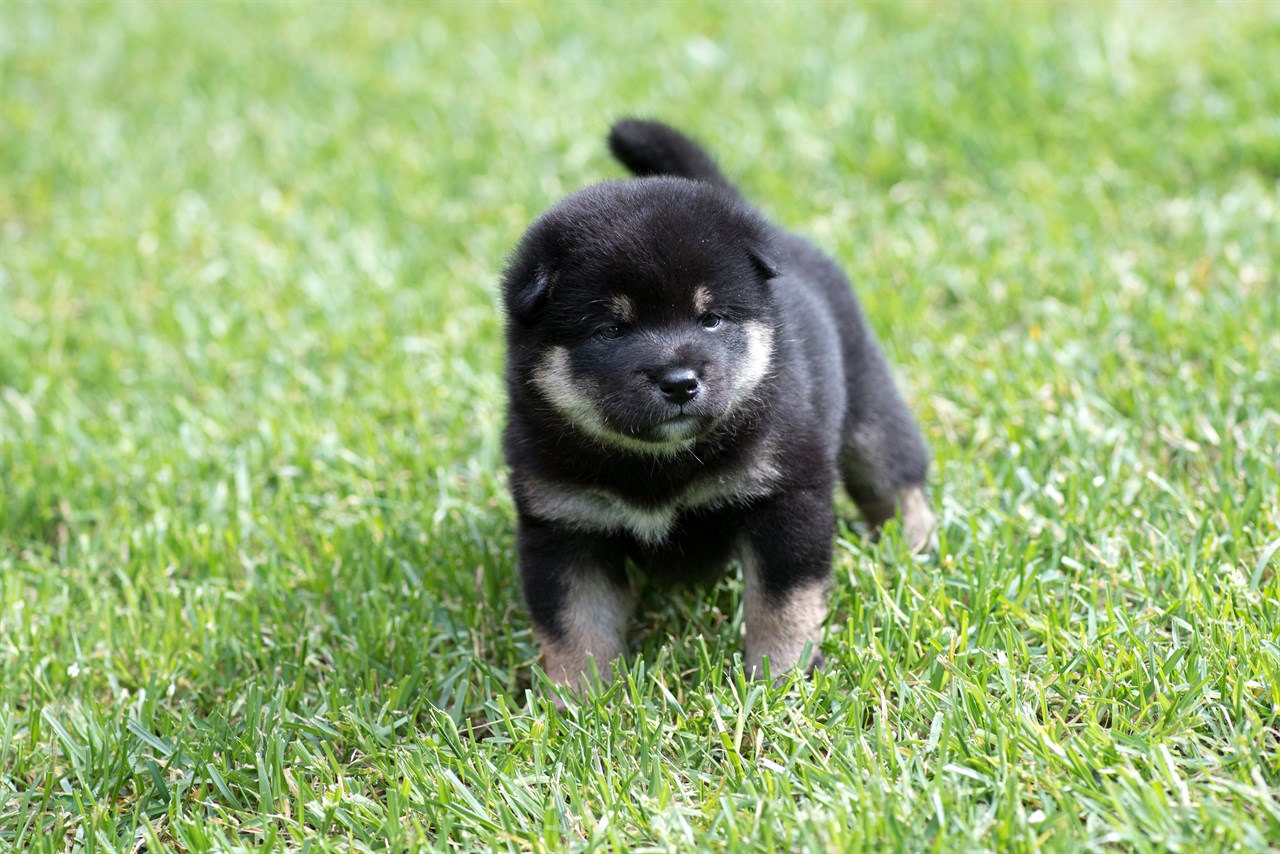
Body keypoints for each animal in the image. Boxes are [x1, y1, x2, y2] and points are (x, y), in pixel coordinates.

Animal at [504, 118, 936, 696]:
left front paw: (780, 680)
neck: (657, 464)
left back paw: (916, 547)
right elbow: (575, 628)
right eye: (611, 330)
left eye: (710, 319)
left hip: (868, 409)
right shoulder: (564, 526)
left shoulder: (784, 498)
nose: (679, 382)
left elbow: (782, 605)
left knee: (895, 480)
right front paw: (579, 701)